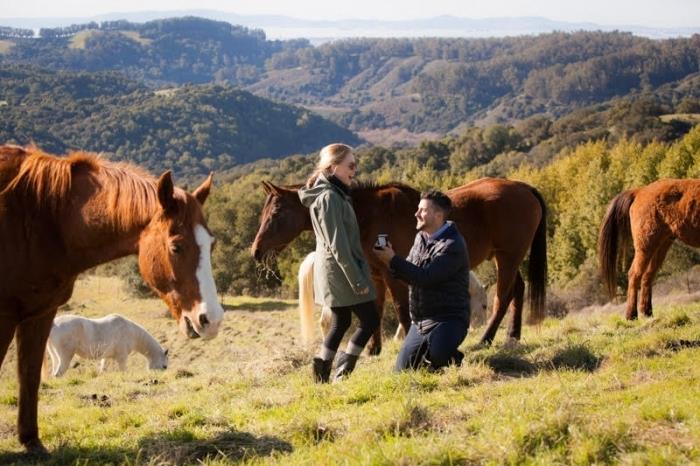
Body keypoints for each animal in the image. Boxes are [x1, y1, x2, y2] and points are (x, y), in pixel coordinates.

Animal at [0, 144, 224, 454]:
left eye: (211, 244)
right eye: (176, 246)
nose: (211, 320)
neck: (45, 218)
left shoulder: (40, 313)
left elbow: (30, 375)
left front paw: (31, 441)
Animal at [600, 178, 700, 320]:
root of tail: (639, 191)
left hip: (661, 244)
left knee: (647, 275)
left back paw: (647, 312)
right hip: (646, 245)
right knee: (634, 274)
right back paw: (631, 315)